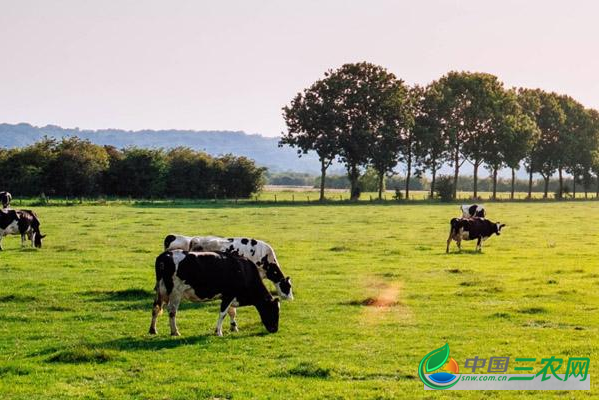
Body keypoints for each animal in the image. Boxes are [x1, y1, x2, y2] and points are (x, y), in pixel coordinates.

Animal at [150, 250, 282, 338]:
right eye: (274, 311)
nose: (275, 329)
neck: (244, 271)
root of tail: (165, 255)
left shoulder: (229, 296)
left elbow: (231, 312)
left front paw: (234, 327)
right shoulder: (229, 294)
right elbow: (223, 313)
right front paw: (218, 332)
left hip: (160, 292)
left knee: (156, 308)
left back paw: (153, 330)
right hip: (175, 293)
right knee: (172, 311)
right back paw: (175, 331)